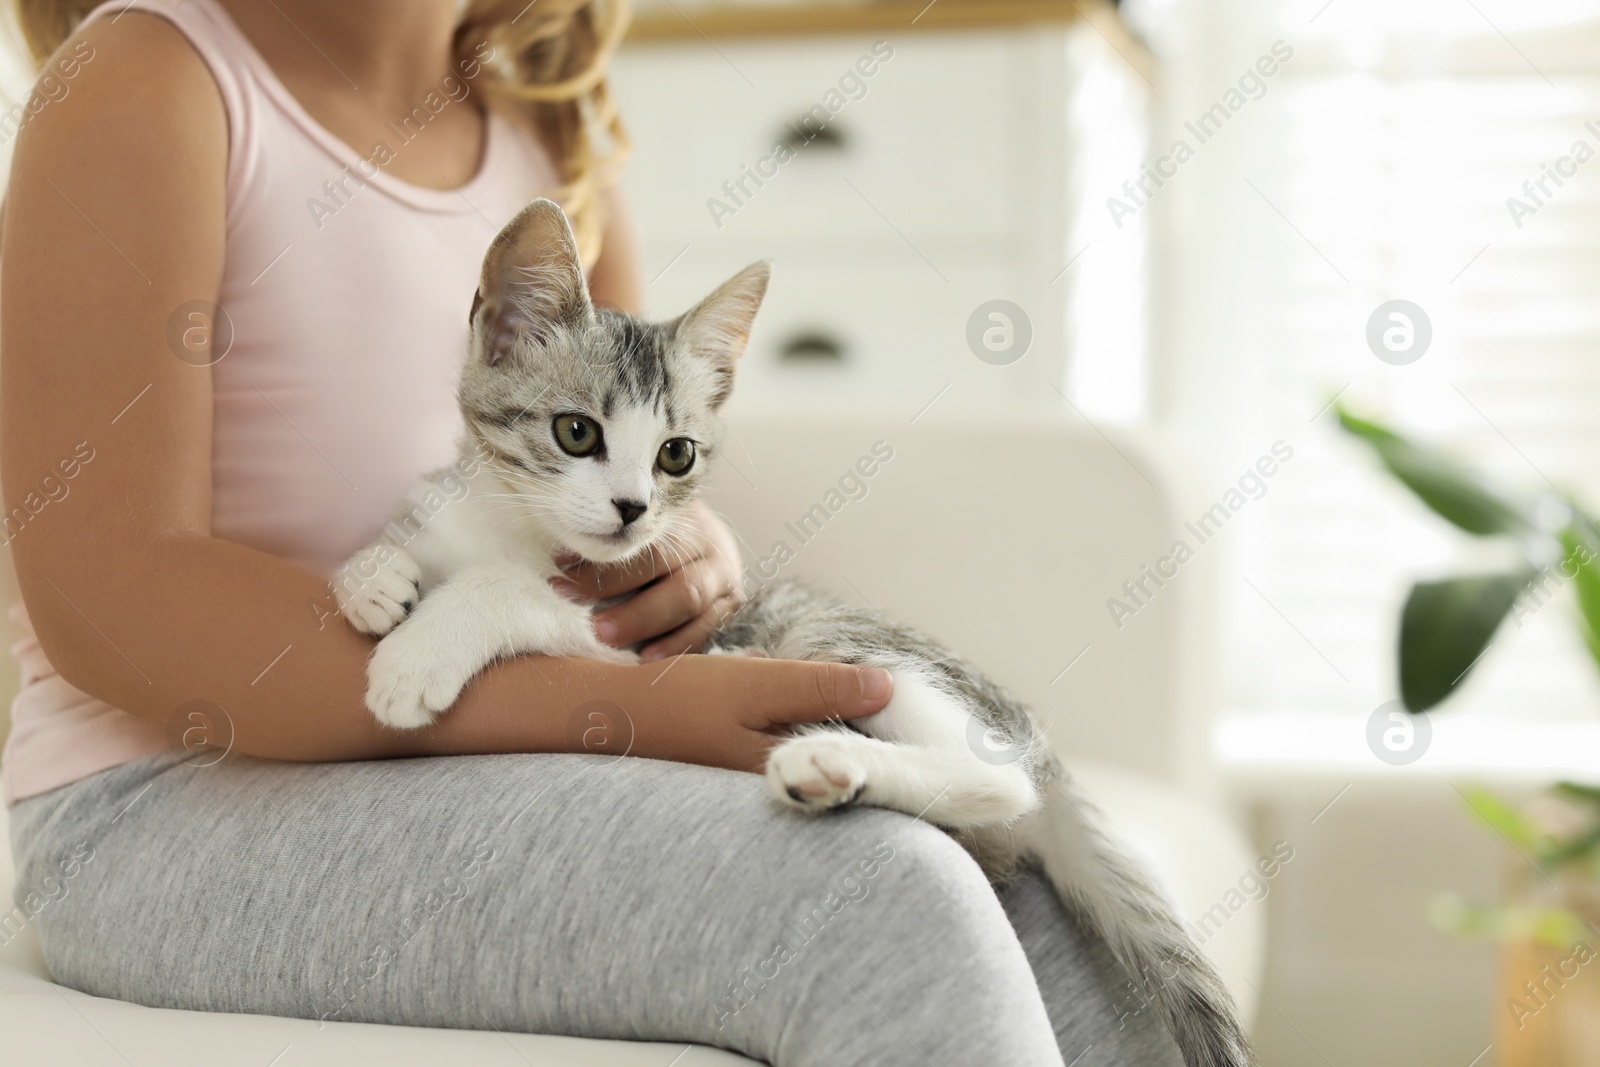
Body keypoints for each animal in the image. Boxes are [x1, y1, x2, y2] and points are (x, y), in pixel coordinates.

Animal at [337, 199, 1254, 1067]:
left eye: (675, 455)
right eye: (576, 431)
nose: (633, 509)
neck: (508, 523)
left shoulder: (637, 628)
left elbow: (510, 592)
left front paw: (417, 654)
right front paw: (371, 576)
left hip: (839, 645)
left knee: (1001, 780)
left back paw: (830, 759)